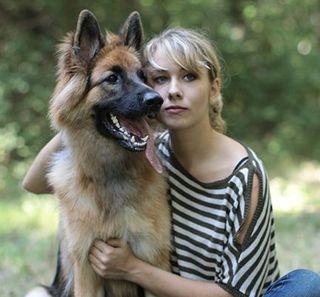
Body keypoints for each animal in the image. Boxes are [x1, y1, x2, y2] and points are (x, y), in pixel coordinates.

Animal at [25, 9, 170, 296]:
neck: (109, 174)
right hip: (39, 290)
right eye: (112, 78)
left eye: (143, 76)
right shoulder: (86, 269)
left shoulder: (154, 262)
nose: (156, 101)